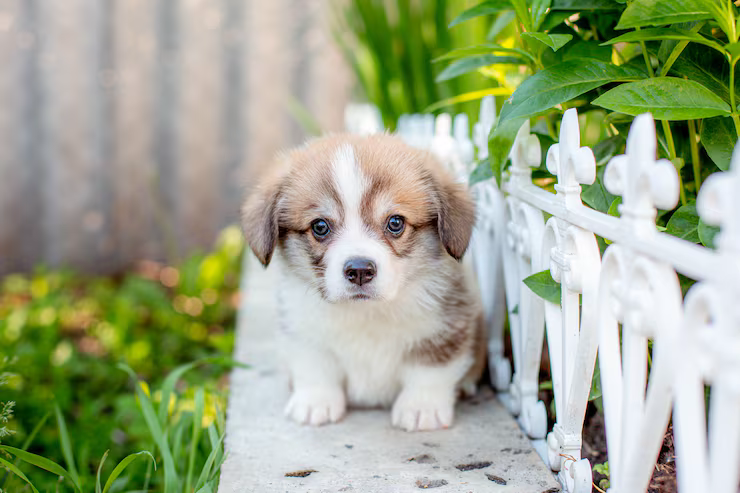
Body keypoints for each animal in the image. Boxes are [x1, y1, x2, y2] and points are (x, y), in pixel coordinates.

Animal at [242, 133, 485, 431]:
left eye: (395, 223)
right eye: (320, 227)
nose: (359, 270)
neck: (366, 312)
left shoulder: (445, 327)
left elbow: (429, 370)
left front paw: (421, 407)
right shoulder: (302, 329)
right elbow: (314, 365)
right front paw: (315, 402)